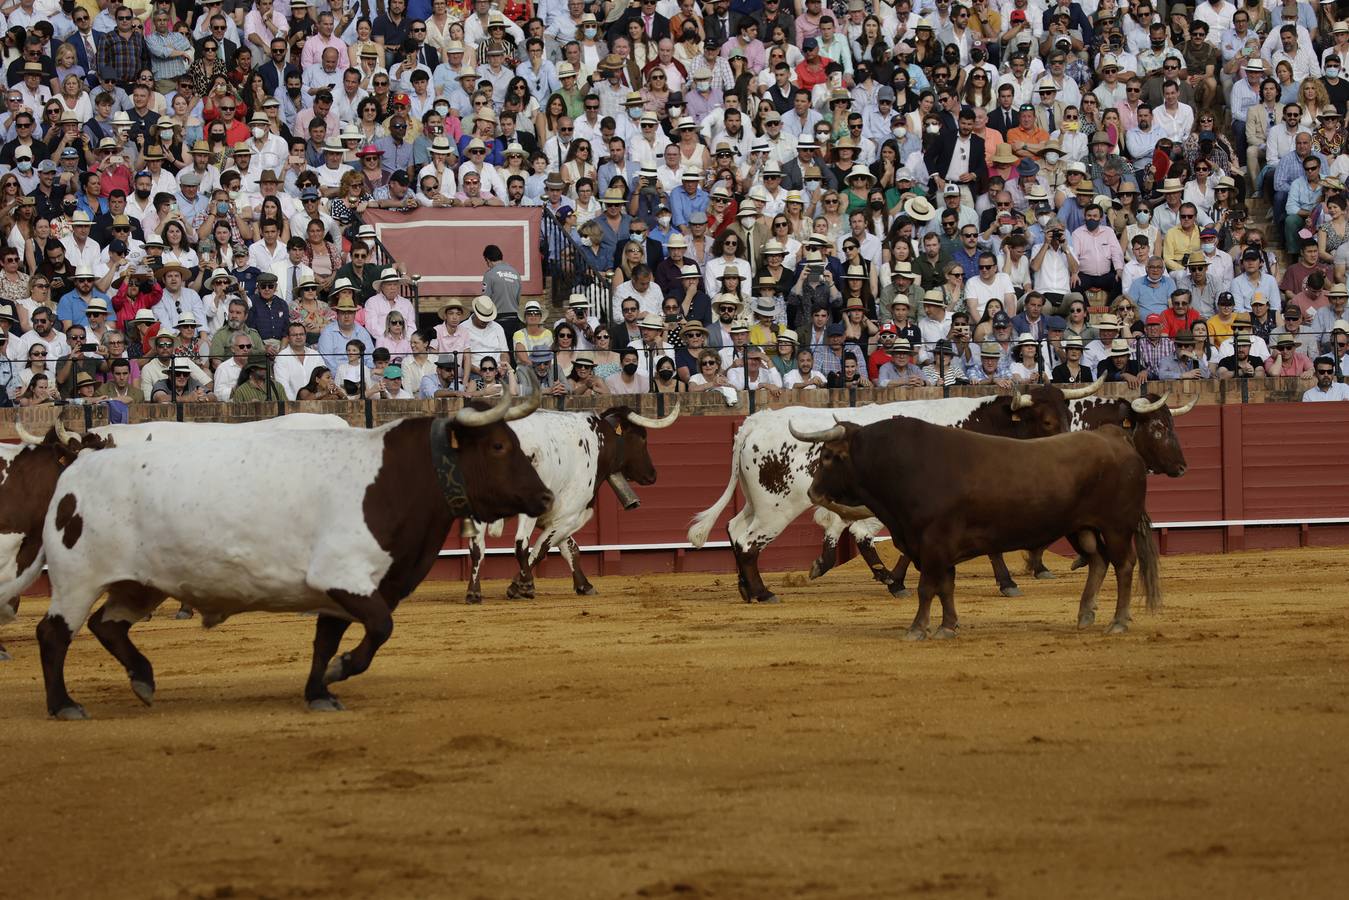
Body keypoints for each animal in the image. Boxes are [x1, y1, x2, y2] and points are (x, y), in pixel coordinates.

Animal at [464, 407, 679, 604]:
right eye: (642, 438)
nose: (652, 475)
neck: (600, 441)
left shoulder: (562, 517)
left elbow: (570, 549)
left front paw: (585, 585)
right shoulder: (569, 514)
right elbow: (541, 549)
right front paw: (518, 587)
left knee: (477, 547)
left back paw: (474, 593)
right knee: (520, 544)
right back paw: (525, 586)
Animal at [793, 420, 1165, 639]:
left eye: (828, 457)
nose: (812, 492)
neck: (903, 465)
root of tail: (1116, 438)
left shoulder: (933, 544)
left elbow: (928, 588)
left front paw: (918, 628)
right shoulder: (933, 548)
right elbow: (945, 588)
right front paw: (948, 625)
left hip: (1116, 527)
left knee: (1124, 565)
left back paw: (1118, 621)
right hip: (1082, 528)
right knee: (1098, 562)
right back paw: (1086, 614)